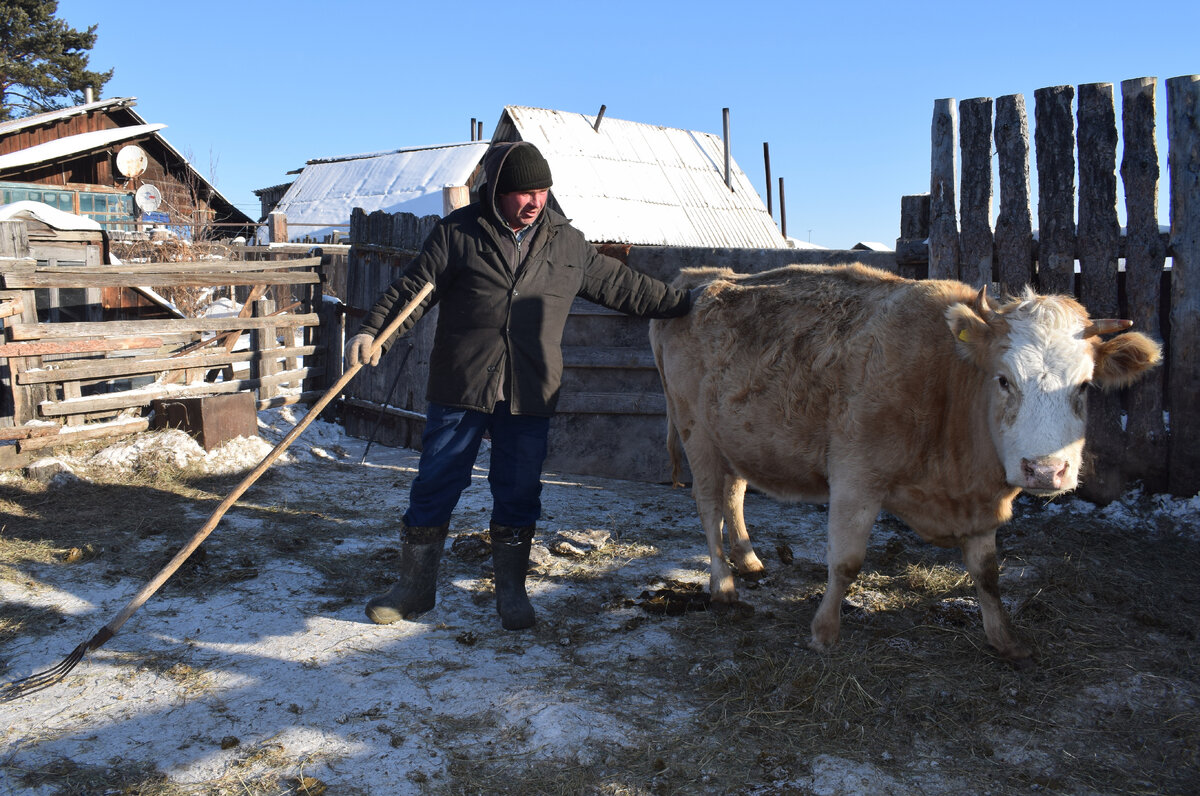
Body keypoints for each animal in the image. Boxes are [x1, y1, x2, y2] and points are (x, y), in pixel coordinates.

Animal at [648, 262, 1161, 667]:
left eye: (1085, 386)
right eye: (1003, 380)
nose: (1045, 470)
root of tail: (697, 279)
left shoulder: (977, 504)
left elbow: (988, 573)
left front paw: (1005, 640)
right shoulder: (856, 477)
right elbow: (846, 562)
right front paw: (824, 632)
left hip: (732, 438)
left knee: (734, 496)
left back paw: (750, 560)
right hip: (696, 434)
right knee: (709, 504)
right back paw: (723, 585)